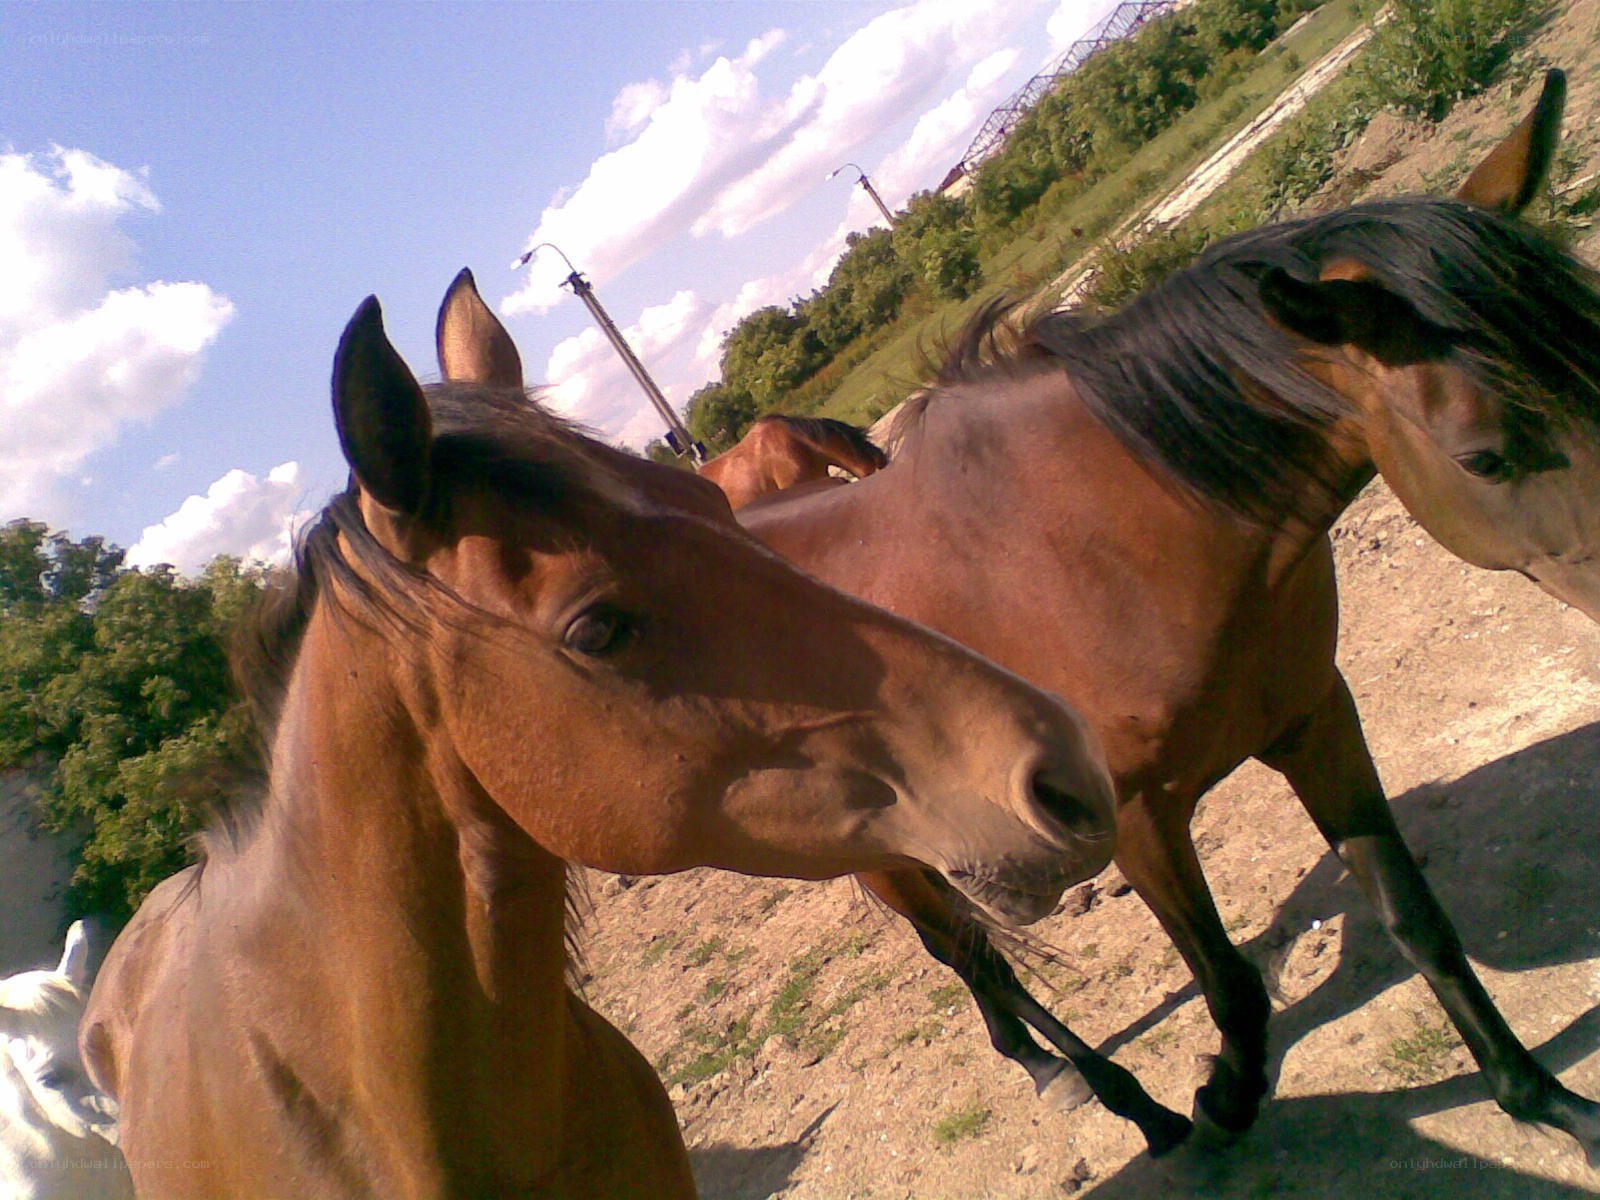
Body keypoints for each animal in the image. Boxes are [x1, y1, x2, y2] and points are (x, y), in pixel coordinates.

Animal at [740, 70, 1600, 1164]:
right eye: (1482, 456)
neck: (1110, 534)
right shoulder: (1138, 820)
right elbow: (1231, 984)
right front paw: (1224, 1098)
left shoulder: (1313, 717)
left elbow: (1414, 917)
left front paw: (1548, 1101)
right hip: (886, 856)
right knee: (969, 954)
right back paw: (1107, 1093)